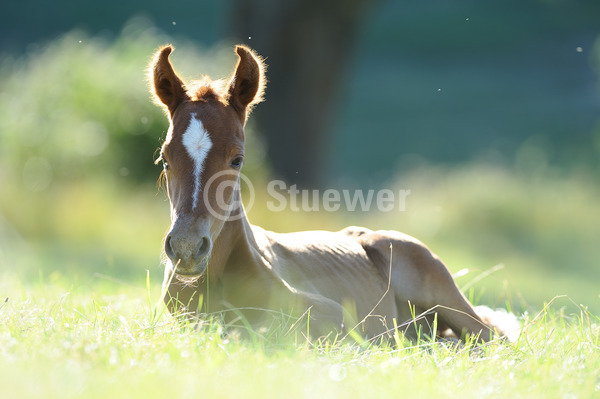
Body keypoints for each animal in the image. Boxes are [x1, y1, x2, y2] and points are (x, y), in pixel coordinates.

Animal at [149, 43, 510, 344]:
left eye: (237, 159)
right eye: (165, 158)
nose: (186, 248)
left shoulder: (335, 317)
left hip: (443, 296)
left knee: (489, 338)